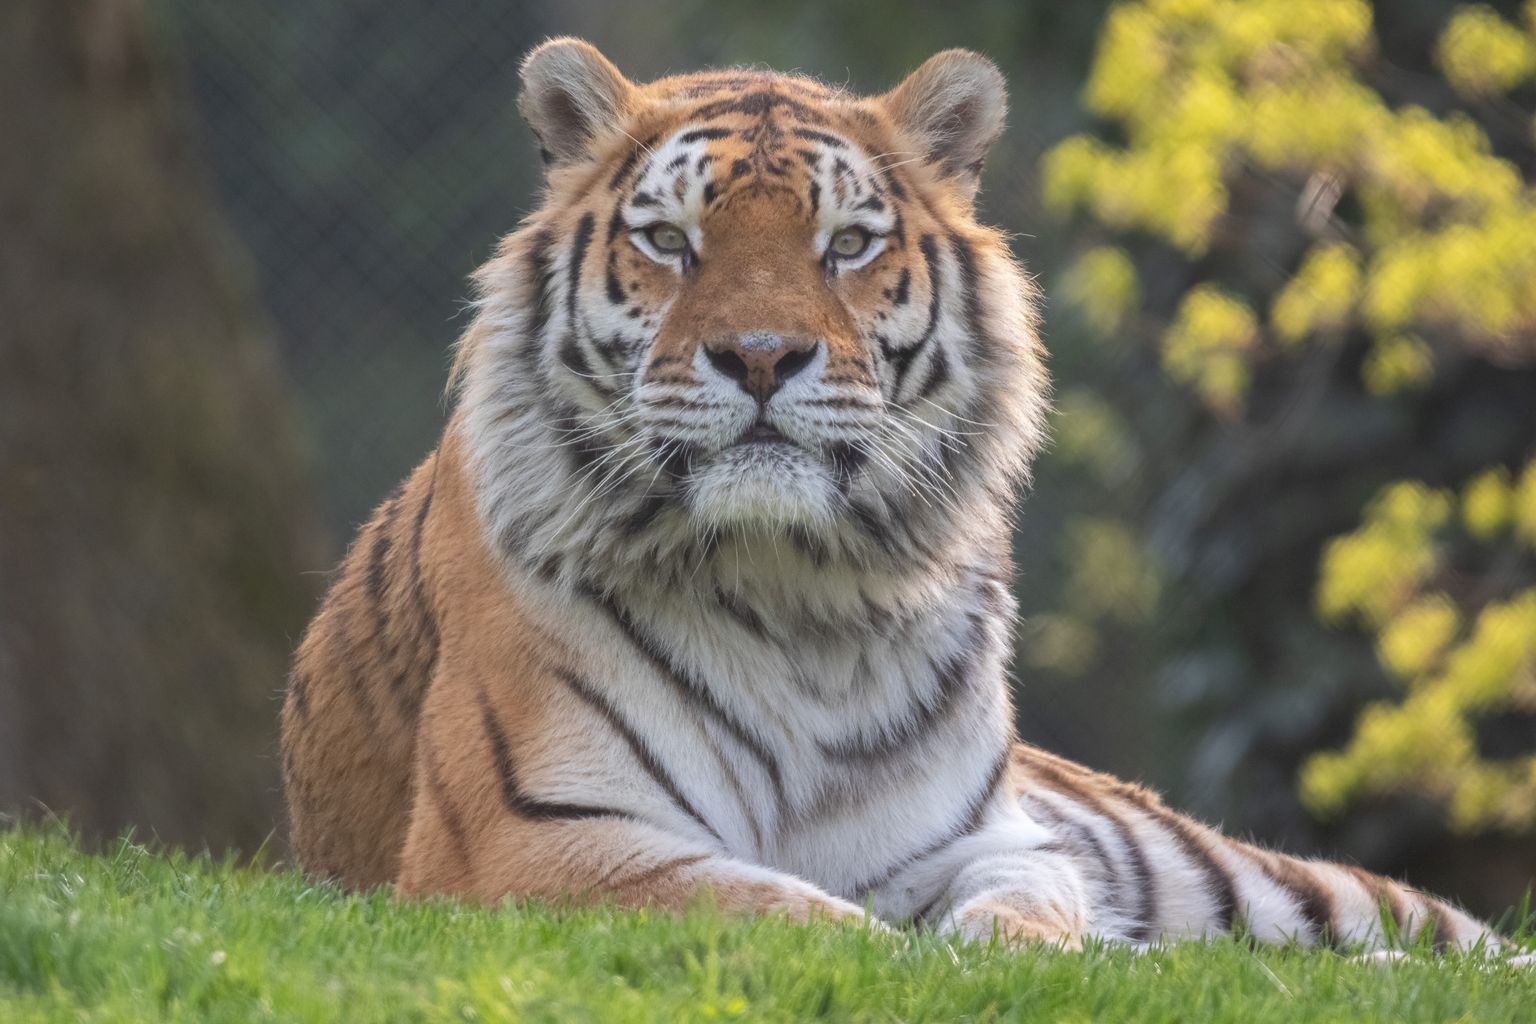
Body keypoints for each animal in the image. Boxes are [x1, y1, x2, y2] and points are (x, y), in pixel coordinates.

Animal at [282, 33, 1529, 964]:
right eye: (670, 240)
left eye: (846, 244)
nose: (762, 356)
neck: (793, 594)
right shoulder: (529, 840)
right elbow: (794, 914)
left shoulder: (989, 840)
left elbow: (1022, 913)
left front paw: (1043, 959)